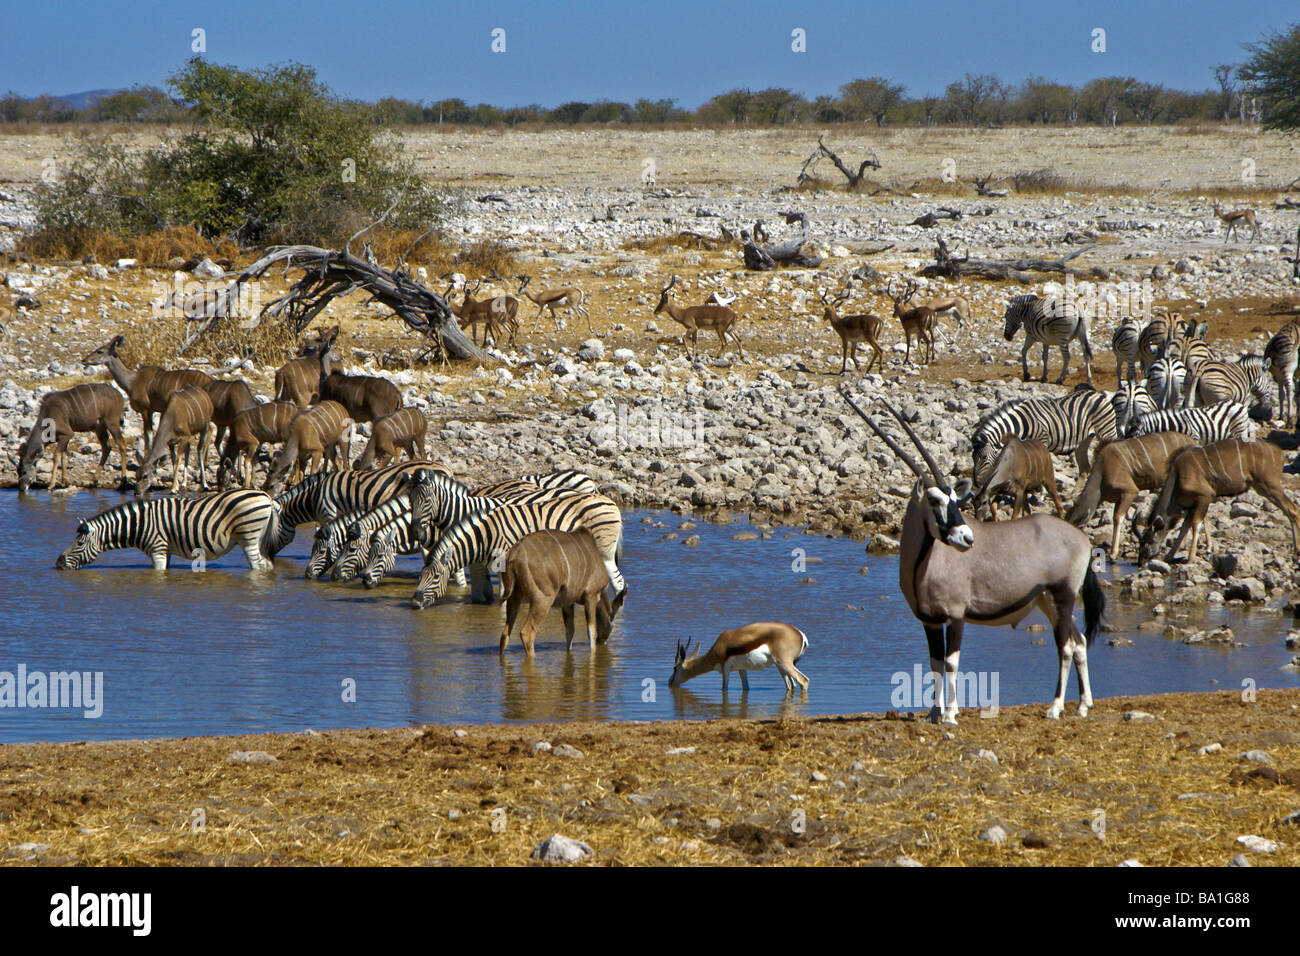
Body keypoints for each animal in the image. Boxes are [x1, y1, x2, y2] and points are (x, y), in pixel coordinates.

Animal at [57, 489, 280, 572]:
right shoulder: (166, 550)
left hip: (248, 537)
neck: (139, 525)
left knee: (258, 566)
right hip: (259, 540)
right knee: (267, 564)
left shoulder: (157, 549)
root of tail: (266, 496)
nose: (58, 563)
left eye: (79, 543)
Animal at [410, 494, 624, 613]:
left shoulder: (503, 561)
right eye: (420, 575)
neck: (486, 535)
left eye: (436, 577)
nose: (414, 604)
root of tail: (610, 501)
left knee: (618, 582)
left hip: (603, 551)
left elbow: (504, 594)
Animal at [837, 390, 1102, 723]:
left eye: (954, 499)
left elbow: (951, 661)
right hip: (1046, 600)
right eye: (935, 500)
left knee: (1065, 646)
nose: (967, 538)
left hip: (1063, 596)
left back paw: (1055, 707)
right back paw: (1083, 705)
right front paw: (933, 713)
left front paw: (950, 714)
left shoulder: (956, 615)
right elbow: (935, 662)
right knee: (1079, 642)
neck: (923, 564)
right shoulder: (930, 621)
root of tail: (1082, 539)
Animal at [977, 385, 1118, 481]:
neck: (1021, 423)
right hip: (1083, 440)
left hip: (1106, 431)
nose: (977, 483)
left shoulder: (1042, 440)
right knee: (1084, 468)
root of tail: (1098, 394)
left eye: (983, 457)